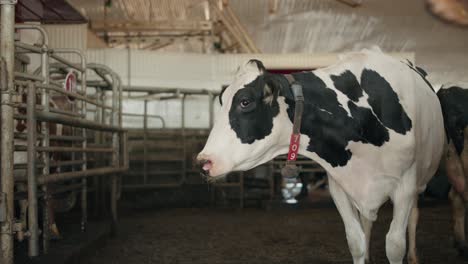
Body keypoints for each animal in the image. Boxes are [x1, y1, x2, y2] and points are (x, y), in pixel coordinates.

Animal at [197, 49, 446, 264]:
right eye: (222, 100)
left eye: (245, 102)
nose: (203, 161)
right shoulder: (340, 185)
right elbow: (355, 241)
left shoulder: (405, 185)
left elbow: (395, 245)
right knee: (367, 221)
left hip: (419, 181)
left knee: (413, 217)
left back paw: (414, 256)